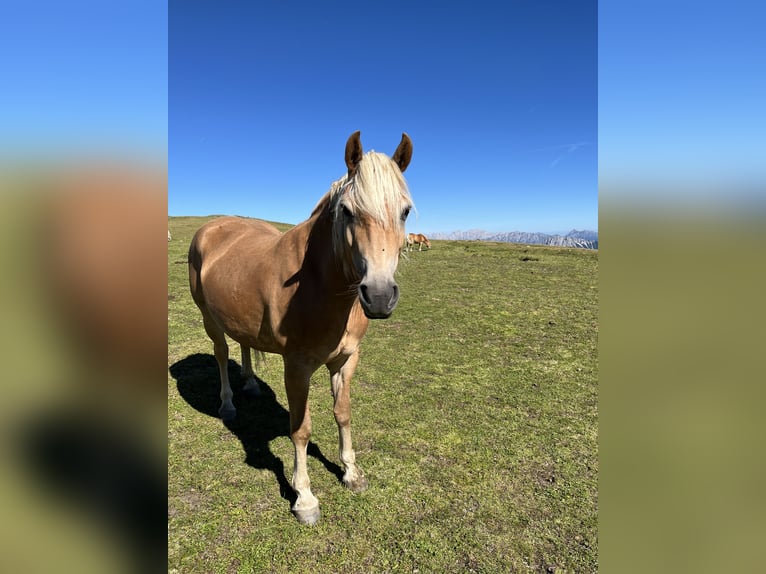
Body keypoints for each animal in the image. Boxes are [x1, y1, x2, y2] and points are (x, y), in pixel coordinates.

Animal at [188, 130, 414, 528]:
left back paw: (250, 384)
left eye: (405, 211)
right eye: (347, 211)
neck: (320, 283)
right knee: (221, 353)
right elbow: (301, 428)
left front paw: (351, 473)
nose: (379, 295)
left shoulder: (345, 360)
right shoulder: (297, 367)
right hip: (209, 319)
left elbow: (343, 413)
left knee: (243, 346)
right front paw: (305, 498)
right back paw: (228, 403)